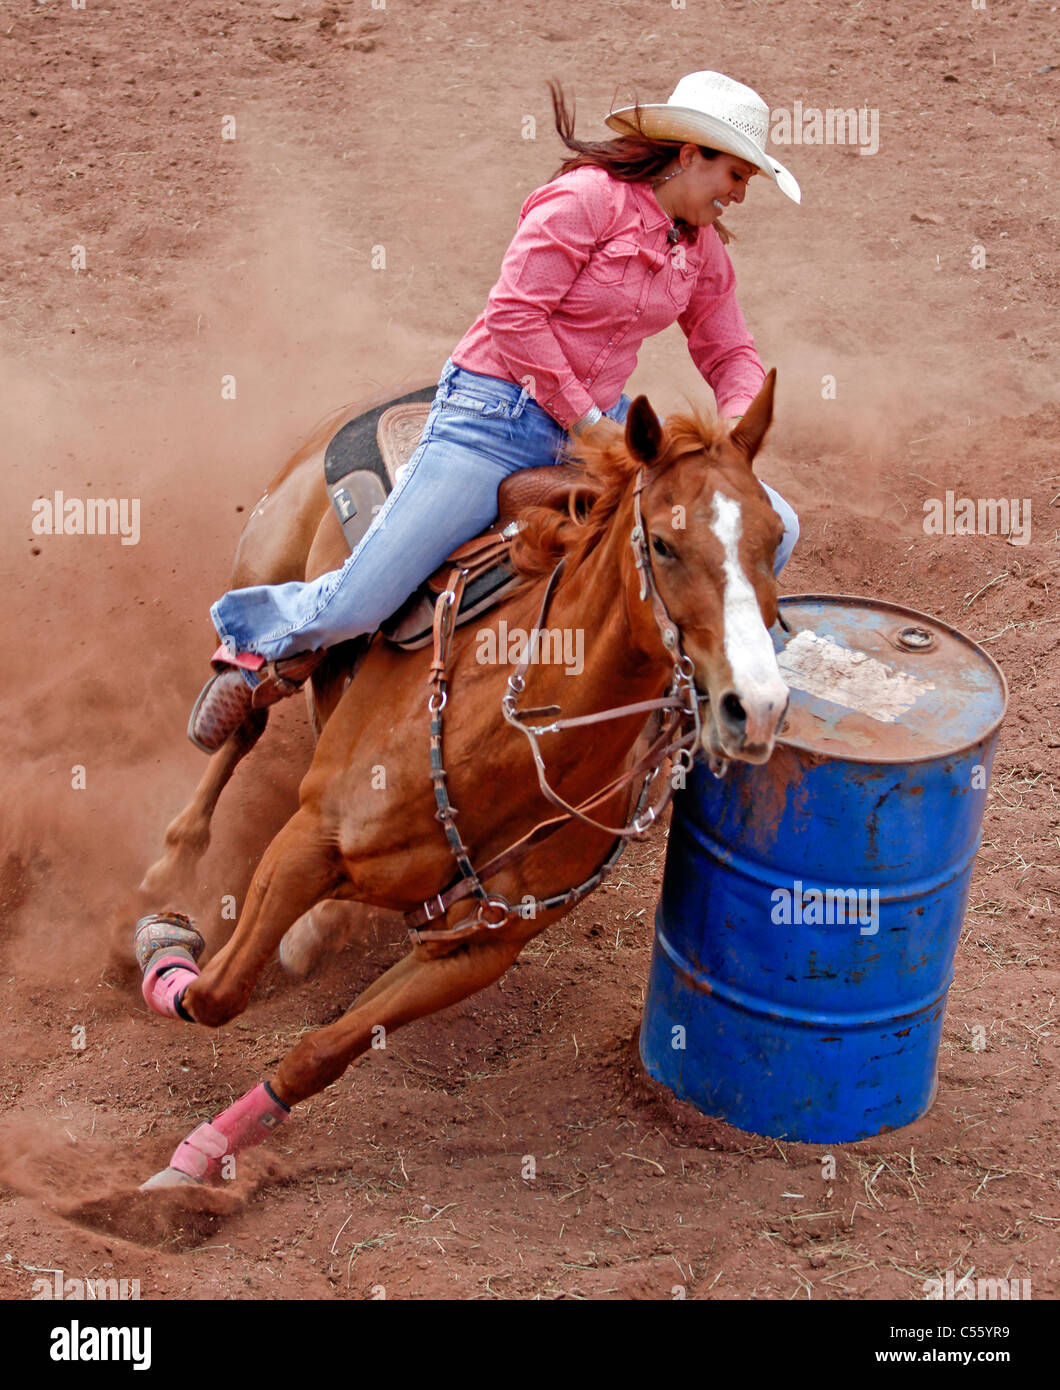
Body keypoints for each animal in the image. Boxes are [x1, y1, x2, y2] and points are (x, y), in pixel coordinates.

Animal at [136, 372, 794, 1195]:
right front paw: (162, 950)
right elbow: (214, 994)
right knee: (249, 706)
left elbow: (321, 1053)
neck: (506, 742)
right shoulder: (308, 842)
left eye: (770, 543)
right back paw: (176, 855)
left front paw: (202, 1156)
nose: (757, 706)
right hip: (268, 571)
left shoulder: (477, 950)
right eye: (666, 544)